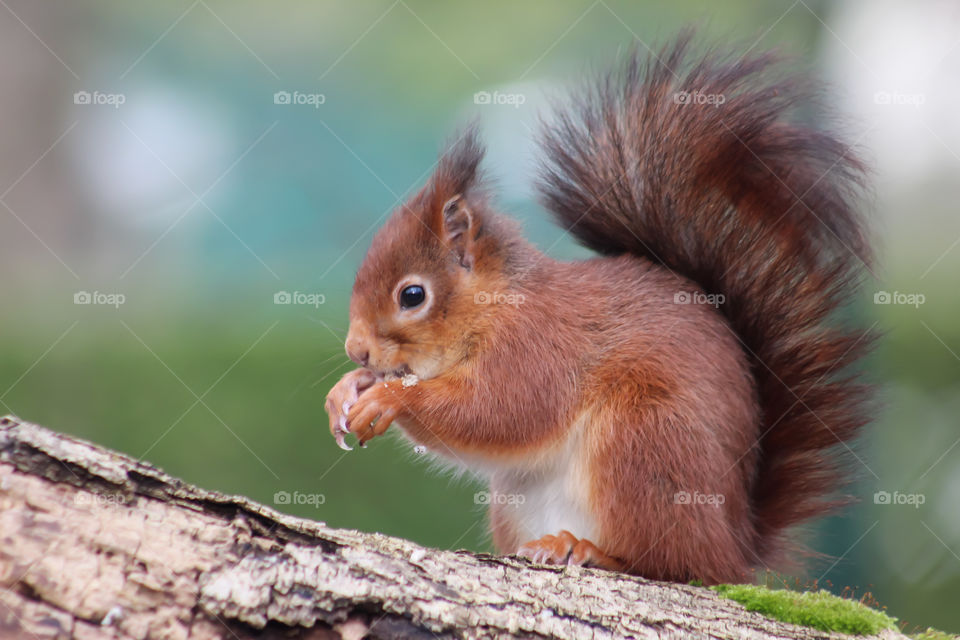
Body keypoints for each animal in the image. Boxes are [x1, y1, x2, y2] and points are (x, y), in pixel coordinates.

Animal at [322, 35, 872, 584]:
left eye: (412, 296)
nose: (356, 350)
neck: (494, 306)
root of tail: (737, 545)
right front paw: (346, 390)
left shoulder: (538, 345)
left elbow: (501, 410)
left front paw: (391, 398)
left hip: (644, 438)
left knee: (673, 562)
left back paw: (588, 549)